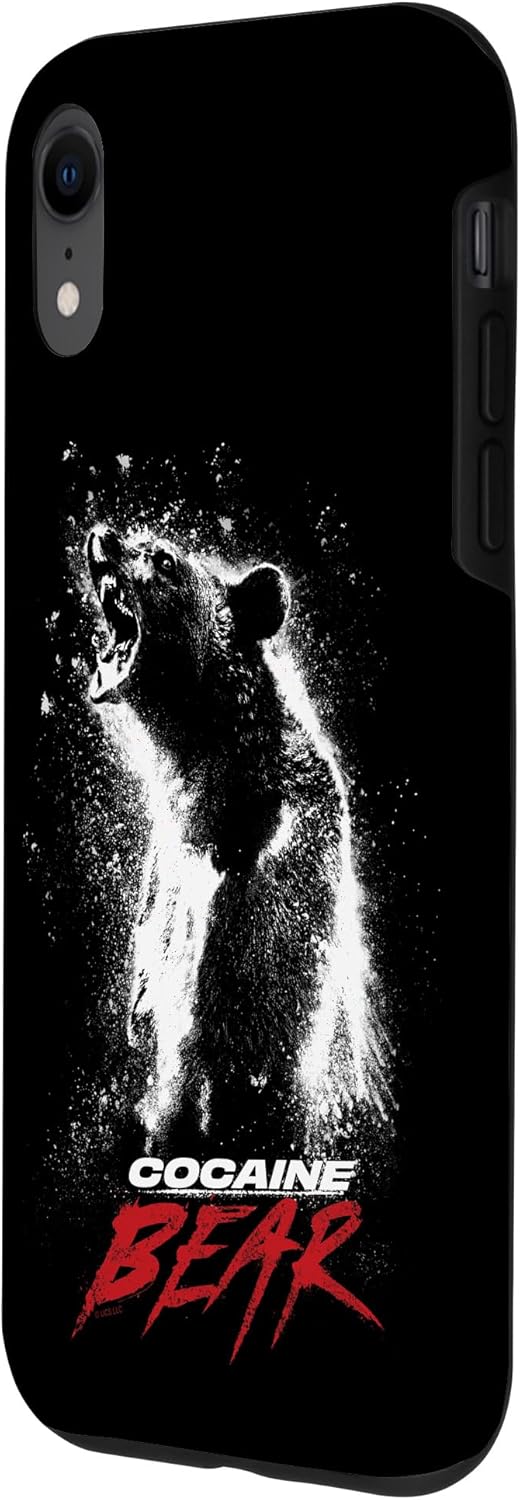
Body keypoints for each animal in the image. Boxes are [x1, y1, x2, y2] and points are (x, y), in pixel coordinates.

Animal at [87, 522, 361, 1156]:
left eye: (164, 559)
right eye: (137, 534)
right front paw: (138, 1008)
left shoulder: (261, 857)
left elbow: (229, 990)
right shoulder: (170, 848)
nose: (102, 536)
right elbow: (155, 929)